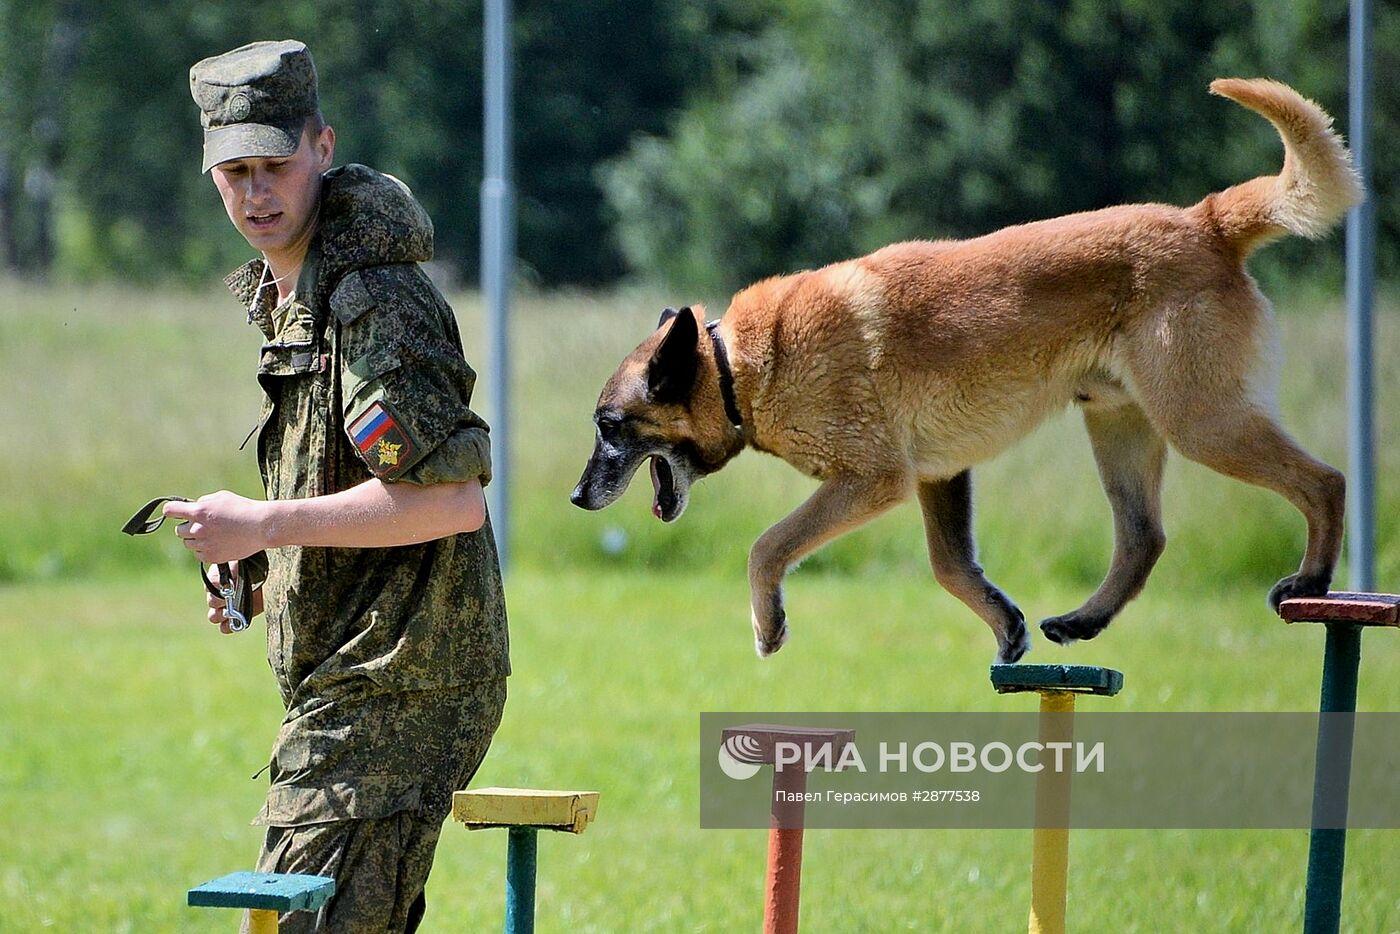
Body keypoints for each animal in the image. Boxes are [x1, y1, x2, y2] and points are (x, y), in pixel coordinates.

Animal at [565, 80, 1355, 663]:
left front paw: (768, 627)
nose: (575, 498)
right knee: (1144, 537)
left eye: (610, 427)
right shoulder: (939, 477)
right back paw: (1084, 621)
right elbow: (951, 566)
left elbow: (768, 545)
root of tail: (1207, 221)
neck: (741, 365)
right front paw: (1006, 627)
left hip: (1202, 421)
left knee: (1325, 481)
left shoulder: (872, 480)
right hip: (1121, 428)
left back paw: (1312, 579)